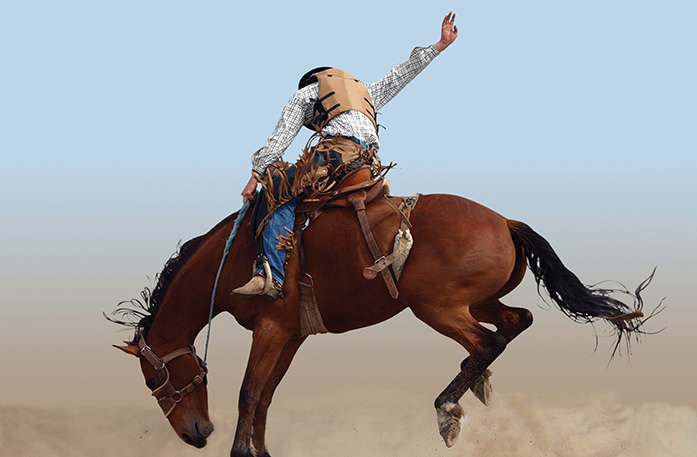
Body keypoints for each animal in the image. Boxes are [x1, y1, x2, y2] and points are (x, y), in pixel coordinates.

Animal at [109, 193, 652, 456]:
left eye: (154, 381)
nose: (196, 434)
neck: (241, 254)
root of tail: (504, 222)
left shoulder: (270, 330)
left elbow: (248, 393)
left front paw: (241, 451)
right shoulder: (291, 335)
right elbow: (264, 397)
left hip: (436, 306)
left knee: (486, 342)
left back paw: (448, 407)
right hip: (477, 301)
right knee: (517, 320)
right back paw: (471, 387)